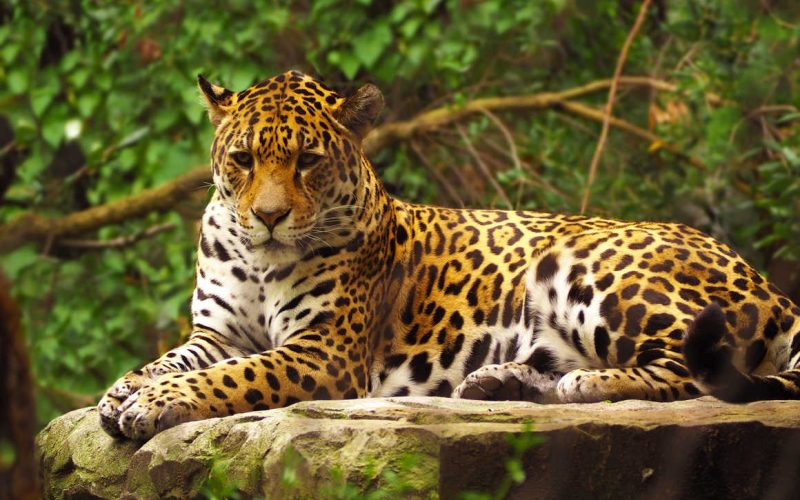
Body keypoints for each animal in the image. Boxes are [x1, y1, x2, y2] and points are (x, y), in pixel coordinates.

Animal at [98, 70, 800, 440]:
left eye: (308, 161)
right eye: (243, 159)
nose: (269, 217)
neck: (260, 259)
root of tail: (772, 287)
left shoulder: (324, 351)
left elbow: (234, 376)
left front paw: (155, 404)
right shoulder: (216, 332)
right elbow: (175, 359)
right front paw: (122, 391)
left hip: (589, 267)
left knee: (694, 373)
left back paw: (585, 383)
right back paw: (501, 381)